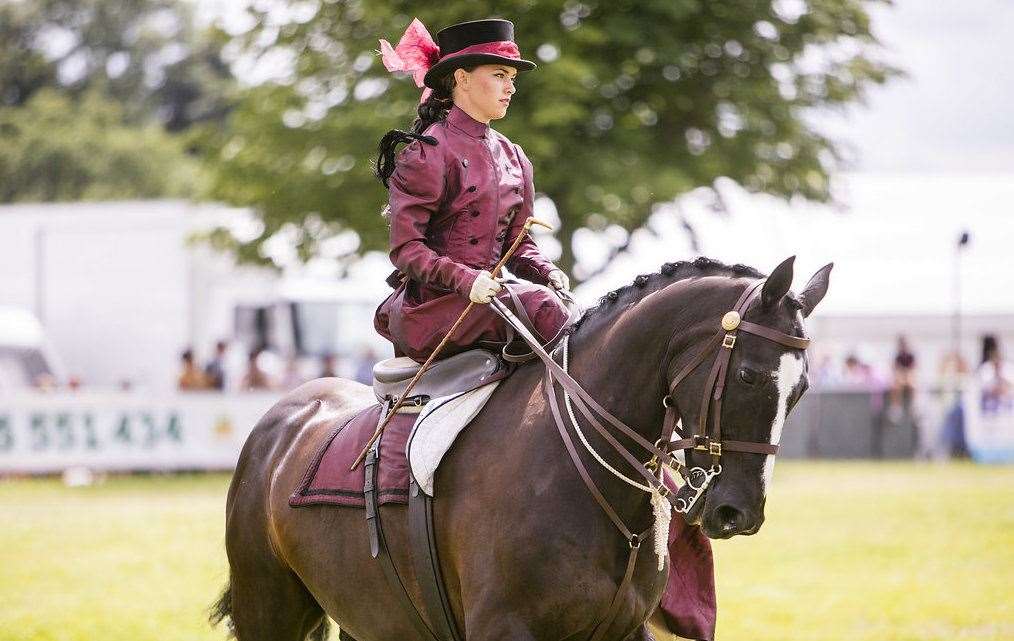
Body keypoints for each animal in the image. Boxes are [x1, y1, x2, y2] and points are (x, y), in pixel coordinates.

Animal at [207, 255, 831, 641]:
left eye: (802, 387)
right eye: (749, 375)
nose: (738, 511)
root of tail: (279, 423)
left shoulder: (625, 629)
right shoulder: (505, 629)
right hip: (269, 611)